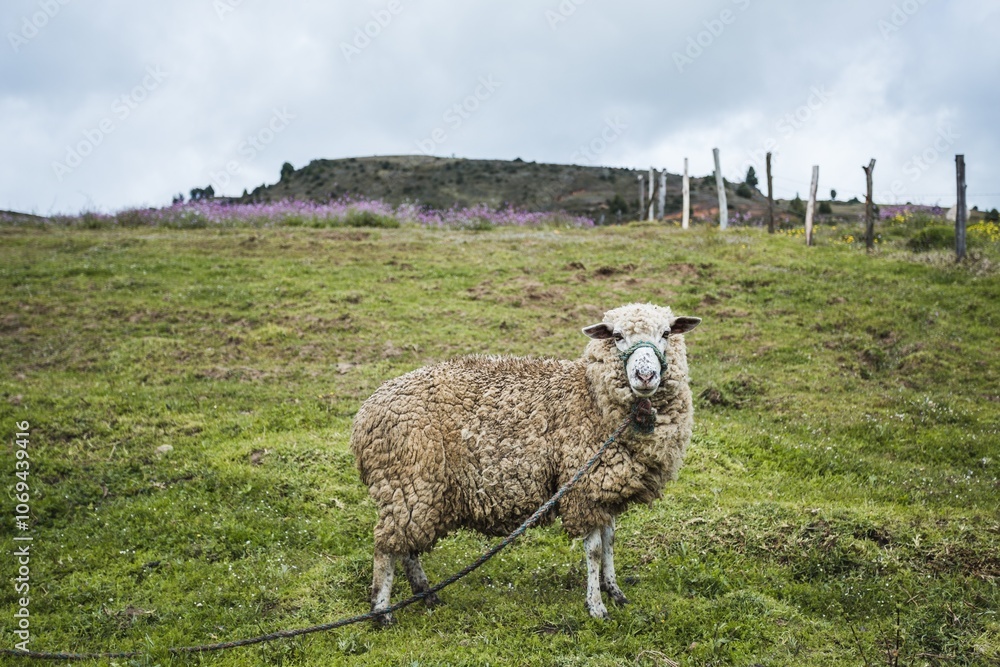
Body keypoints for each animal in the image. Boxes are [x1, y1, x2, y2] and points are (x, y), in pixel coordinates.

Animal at [349, 302, 700, 624]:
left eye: (666, 333)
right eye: (616, 336)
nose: (645, 376)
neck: (591, 396)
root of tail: (364, 416)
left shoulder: (601, 487)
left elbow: (610, 541)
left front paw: (614, 591)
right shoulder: (580, 487)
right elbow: (594, 549)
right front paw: (596, 606)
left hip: (417, 491)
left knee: (406, 546)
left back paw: (426, 594)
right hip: (407, 481)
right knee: (386, 546)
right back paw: (382, 611)